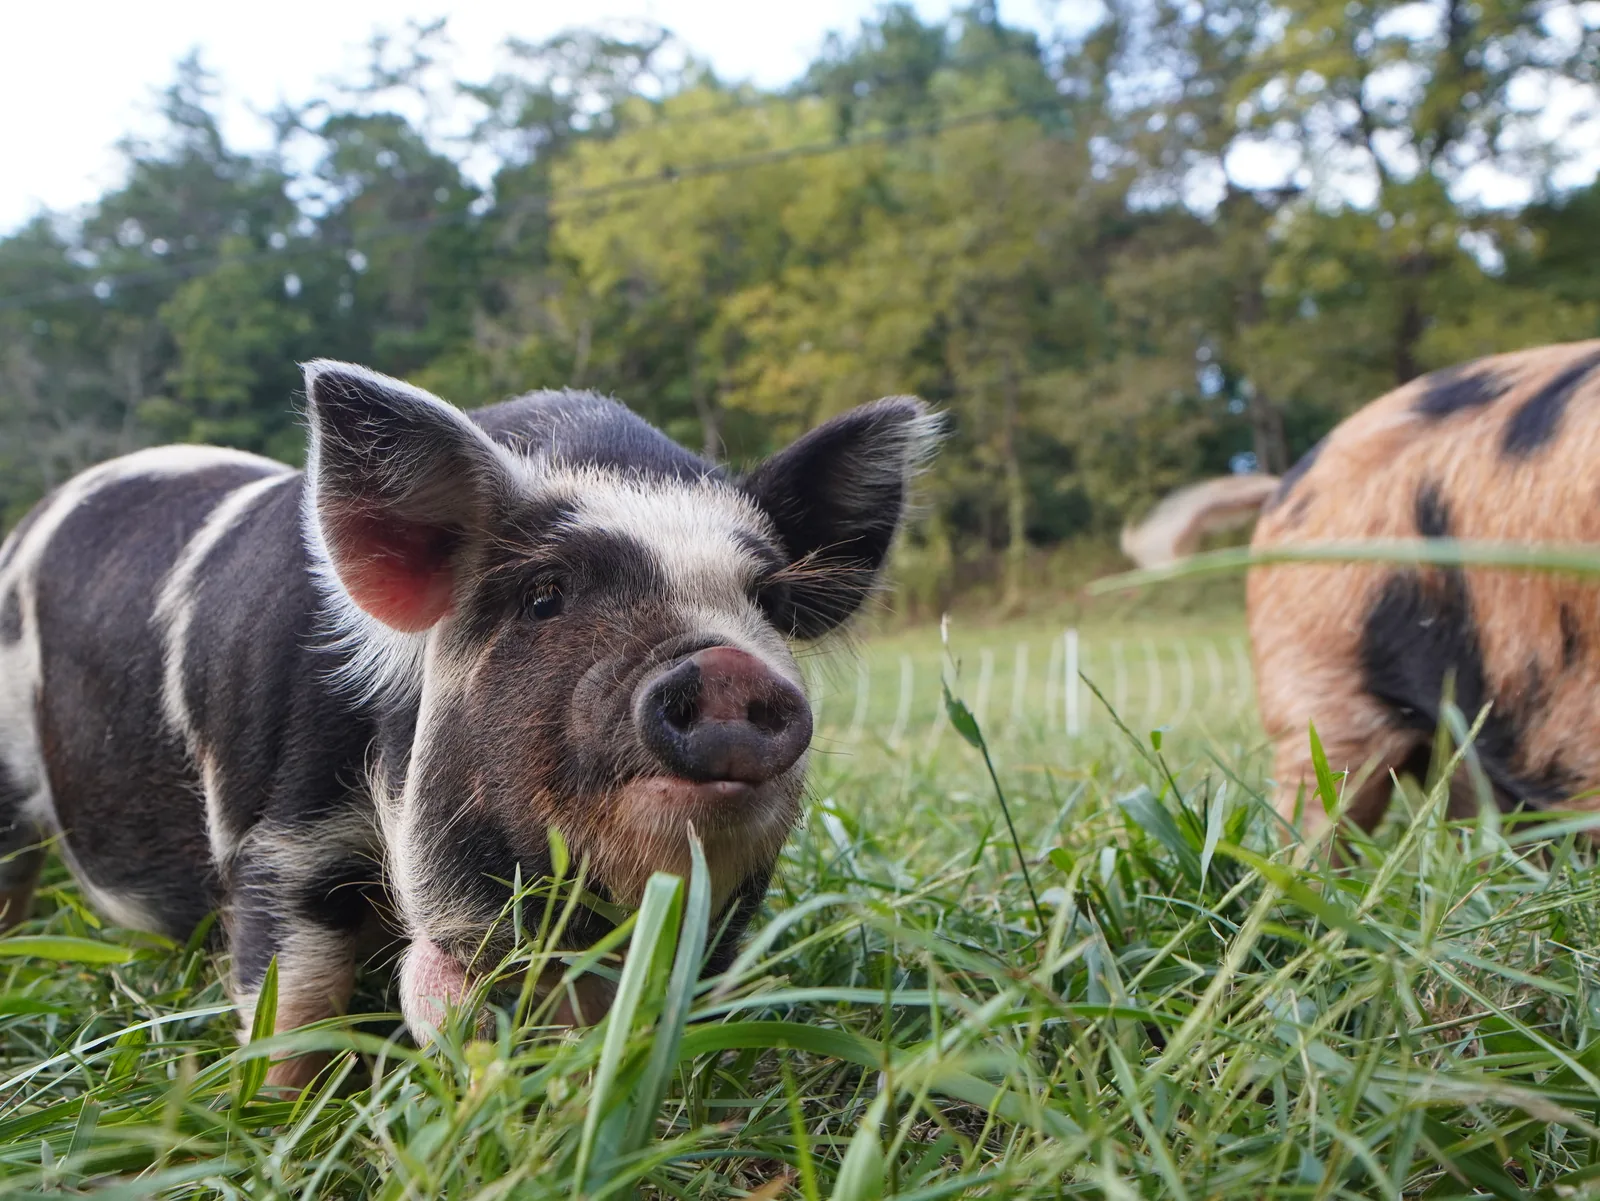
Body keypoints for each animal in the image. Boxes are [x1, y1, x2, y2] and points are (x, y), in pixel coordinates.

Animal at [0, 361, 940, 1086]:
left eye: (768, 604)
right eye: (544, 594)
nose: (724, 666)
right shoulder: (277, 836)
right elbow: (293, 1004)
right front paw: (279, 1111)